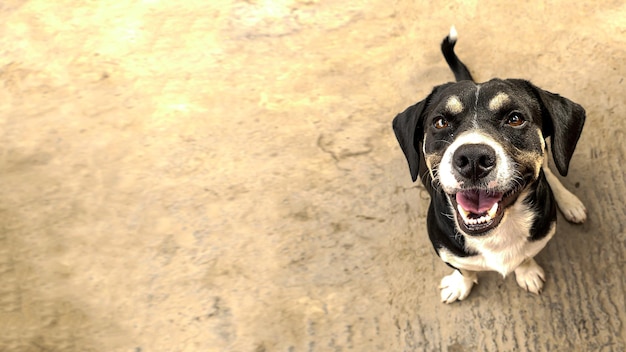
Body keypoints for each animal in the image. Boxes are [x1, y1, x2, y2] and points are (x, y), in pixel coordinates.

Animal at [390, 27, 584, 302]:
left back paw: (570, 202)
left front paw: (527, 271)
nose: (472, 159)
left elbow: (525, 256)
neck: (496, 233)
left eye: (515, 118)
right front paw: (460, 285)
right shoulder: (446, 251)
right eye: (440, 122)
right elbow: (463, 269)